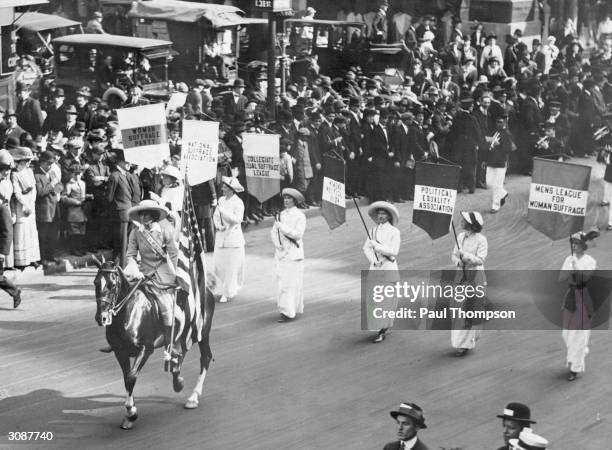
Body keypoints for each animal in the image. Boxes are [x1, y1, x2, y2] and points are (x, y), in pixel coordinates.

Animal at [92, 256, 214, 428]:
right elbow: (127, 378)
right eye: (96, 282)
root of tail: (207, 290)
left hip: (201, 333)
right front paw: (129, 414)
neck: (129, 312)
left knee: (205, 358)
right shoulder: (119, 351)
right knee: (180, 354)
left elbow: (131, 377)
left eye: (112, 284)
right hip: (182, 336)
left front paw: (131, 412)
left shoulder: (145, 349)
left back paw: (193, 397)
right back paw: (177, 380)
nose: (101, 317)